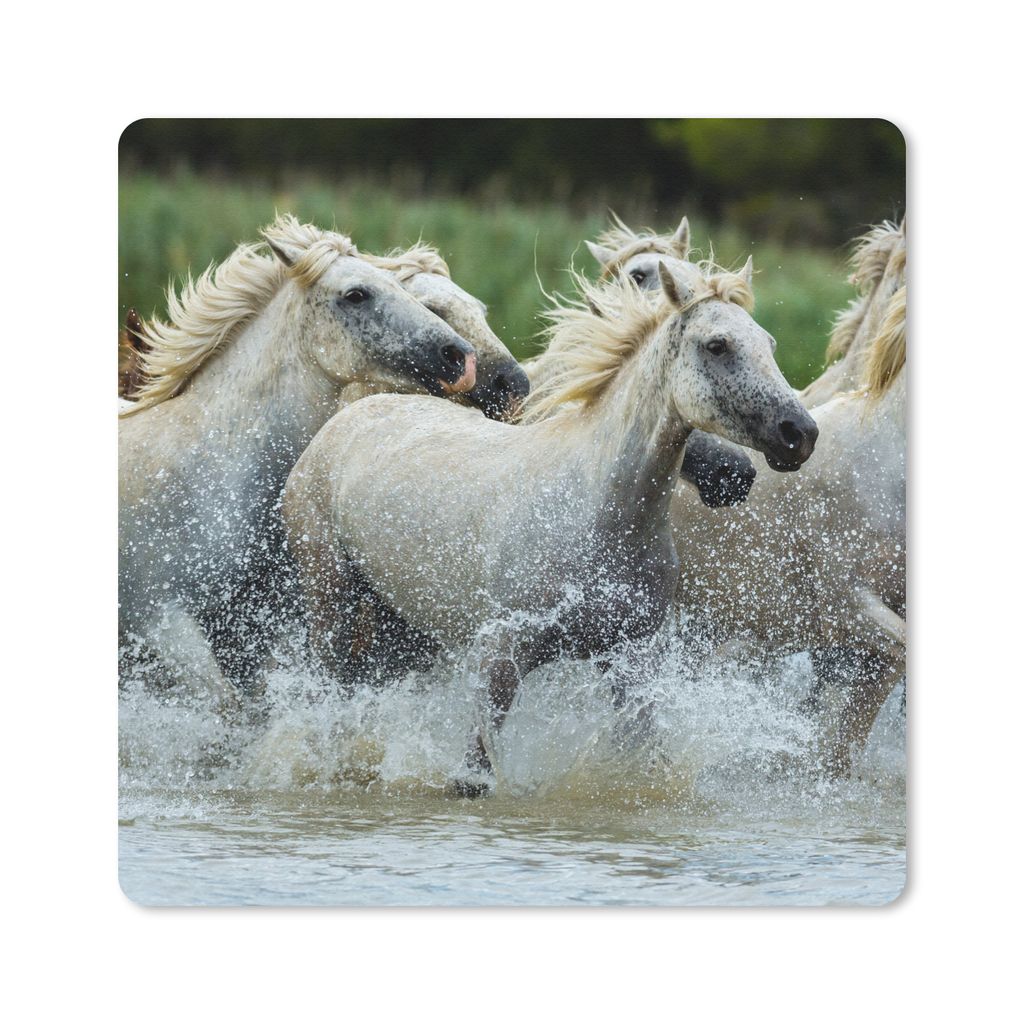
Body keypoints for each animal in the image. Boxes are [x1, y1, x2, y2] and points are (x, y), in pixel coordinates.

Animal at [281, 259, 818, 792]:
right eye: (717, 345)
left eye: (769, 344)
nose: (799, 434)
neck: (598, 514)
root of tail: (346, 419)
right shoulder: (500, 661)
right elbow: (476, 776)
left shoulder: (632, 663)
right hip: (331, 601)